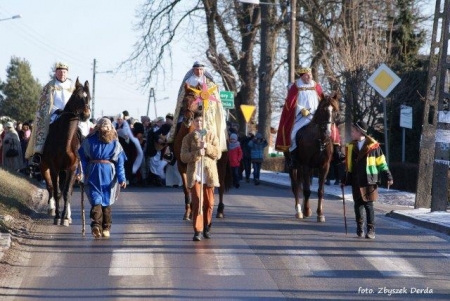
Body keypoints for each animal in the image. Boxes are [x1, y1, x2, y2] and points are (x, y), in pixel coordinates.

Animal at [41, 77, 91, 225]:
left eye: (89, 98)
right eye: (77, 97)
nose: (86, 115)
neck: (65, 141)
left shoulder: (72, 168)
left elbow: (67, 192)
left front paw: (65, 217)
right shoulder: (54, 167)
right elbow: (56, 191)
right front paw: (58, 216)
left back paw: (67, 214)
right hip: (44, 166)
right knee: (51, 187)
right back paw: (52, 208)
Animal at [173, 85, 232, 219]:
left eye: (198, 102)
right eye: (184, 101)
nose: (187, 119)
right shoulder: (181, 166)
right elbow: (187, 188)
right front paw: (188, 212)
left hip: (221, 165)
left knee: (220, 186)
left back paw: (220, 210)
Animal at [286, 92, 340, 221]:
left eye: (335, 111)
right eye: (322, 110)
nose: (328, 132)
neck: (319, 140)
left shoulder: (324, 167)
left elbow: (320, 191)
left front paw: (320, 214)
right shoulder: (307, 165)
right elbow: (306, 190)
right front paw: (306, 211)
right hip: (292, 165)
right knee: (296, 187)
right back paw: (299, 211)